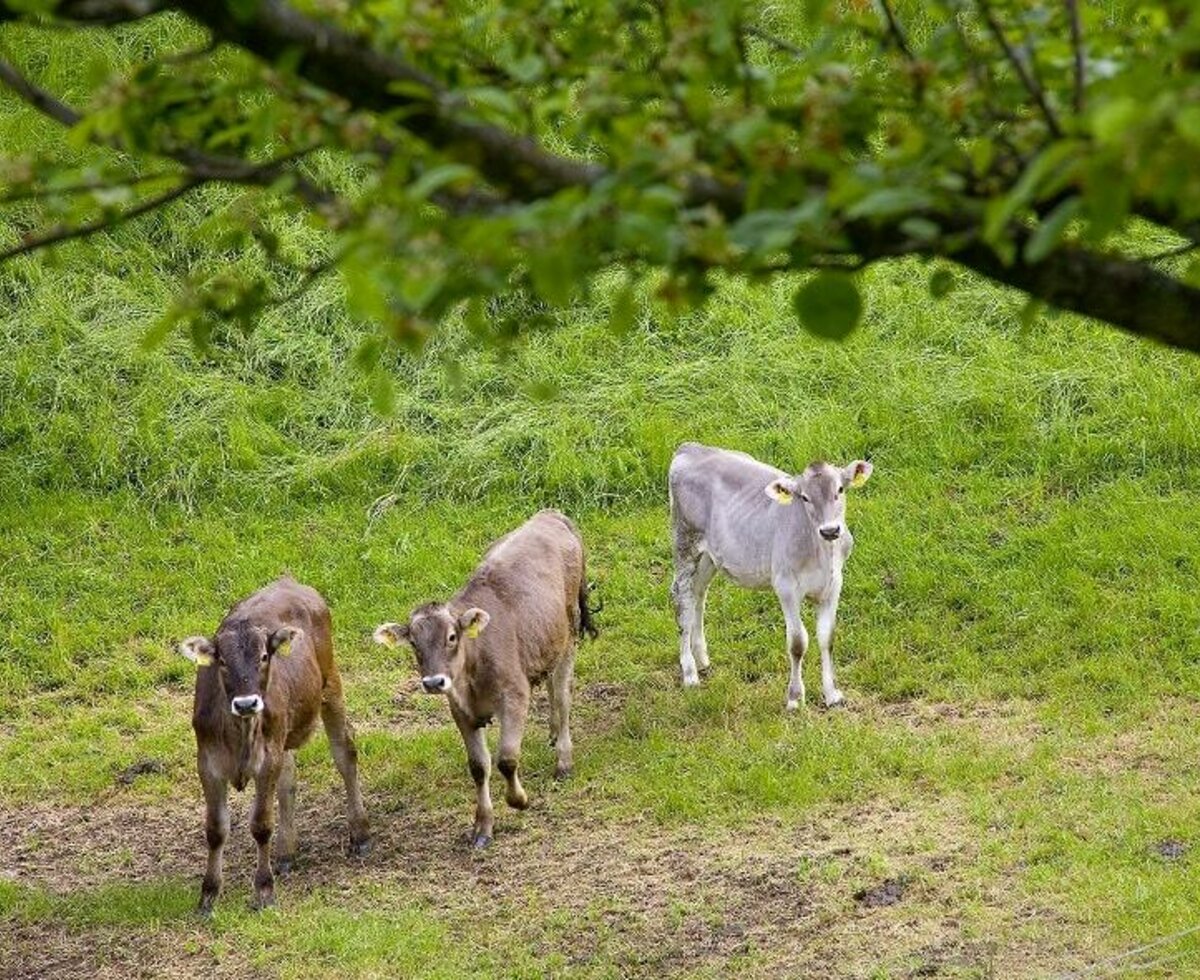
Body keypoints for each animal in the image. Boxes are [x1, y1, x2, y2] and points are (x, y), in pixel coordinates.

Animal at [177, 573, 369, 911]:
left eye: (264, 657)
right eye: (222, 661)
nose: (246, 703)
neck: (240, 731)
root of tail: (290, 580)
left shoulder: (266, 760)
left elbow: (261, 824)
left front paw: (264, 890)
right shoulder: (208, 764)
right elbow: (216, 830)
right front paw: (208, 895)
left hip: (330, 683)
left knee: (345, 753)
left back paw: (359, 833)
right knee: (288, 780)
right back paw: (285, 852)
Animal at [667, 446, 873, 710]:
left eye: (840, 489)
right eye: (804, 497)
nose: (830, 530)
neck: (821, 553)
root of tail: (690, 448)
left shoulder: (834, 584)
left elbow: (827, 637)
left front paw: (832, 695)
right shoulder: (786, 586)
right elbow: (798, 643)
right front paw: (794, 698)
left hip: (710, 556)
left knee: (698, 595)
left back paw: (702, 658)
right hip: (685, 541)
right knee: (683, 600)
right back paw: (690, 672)